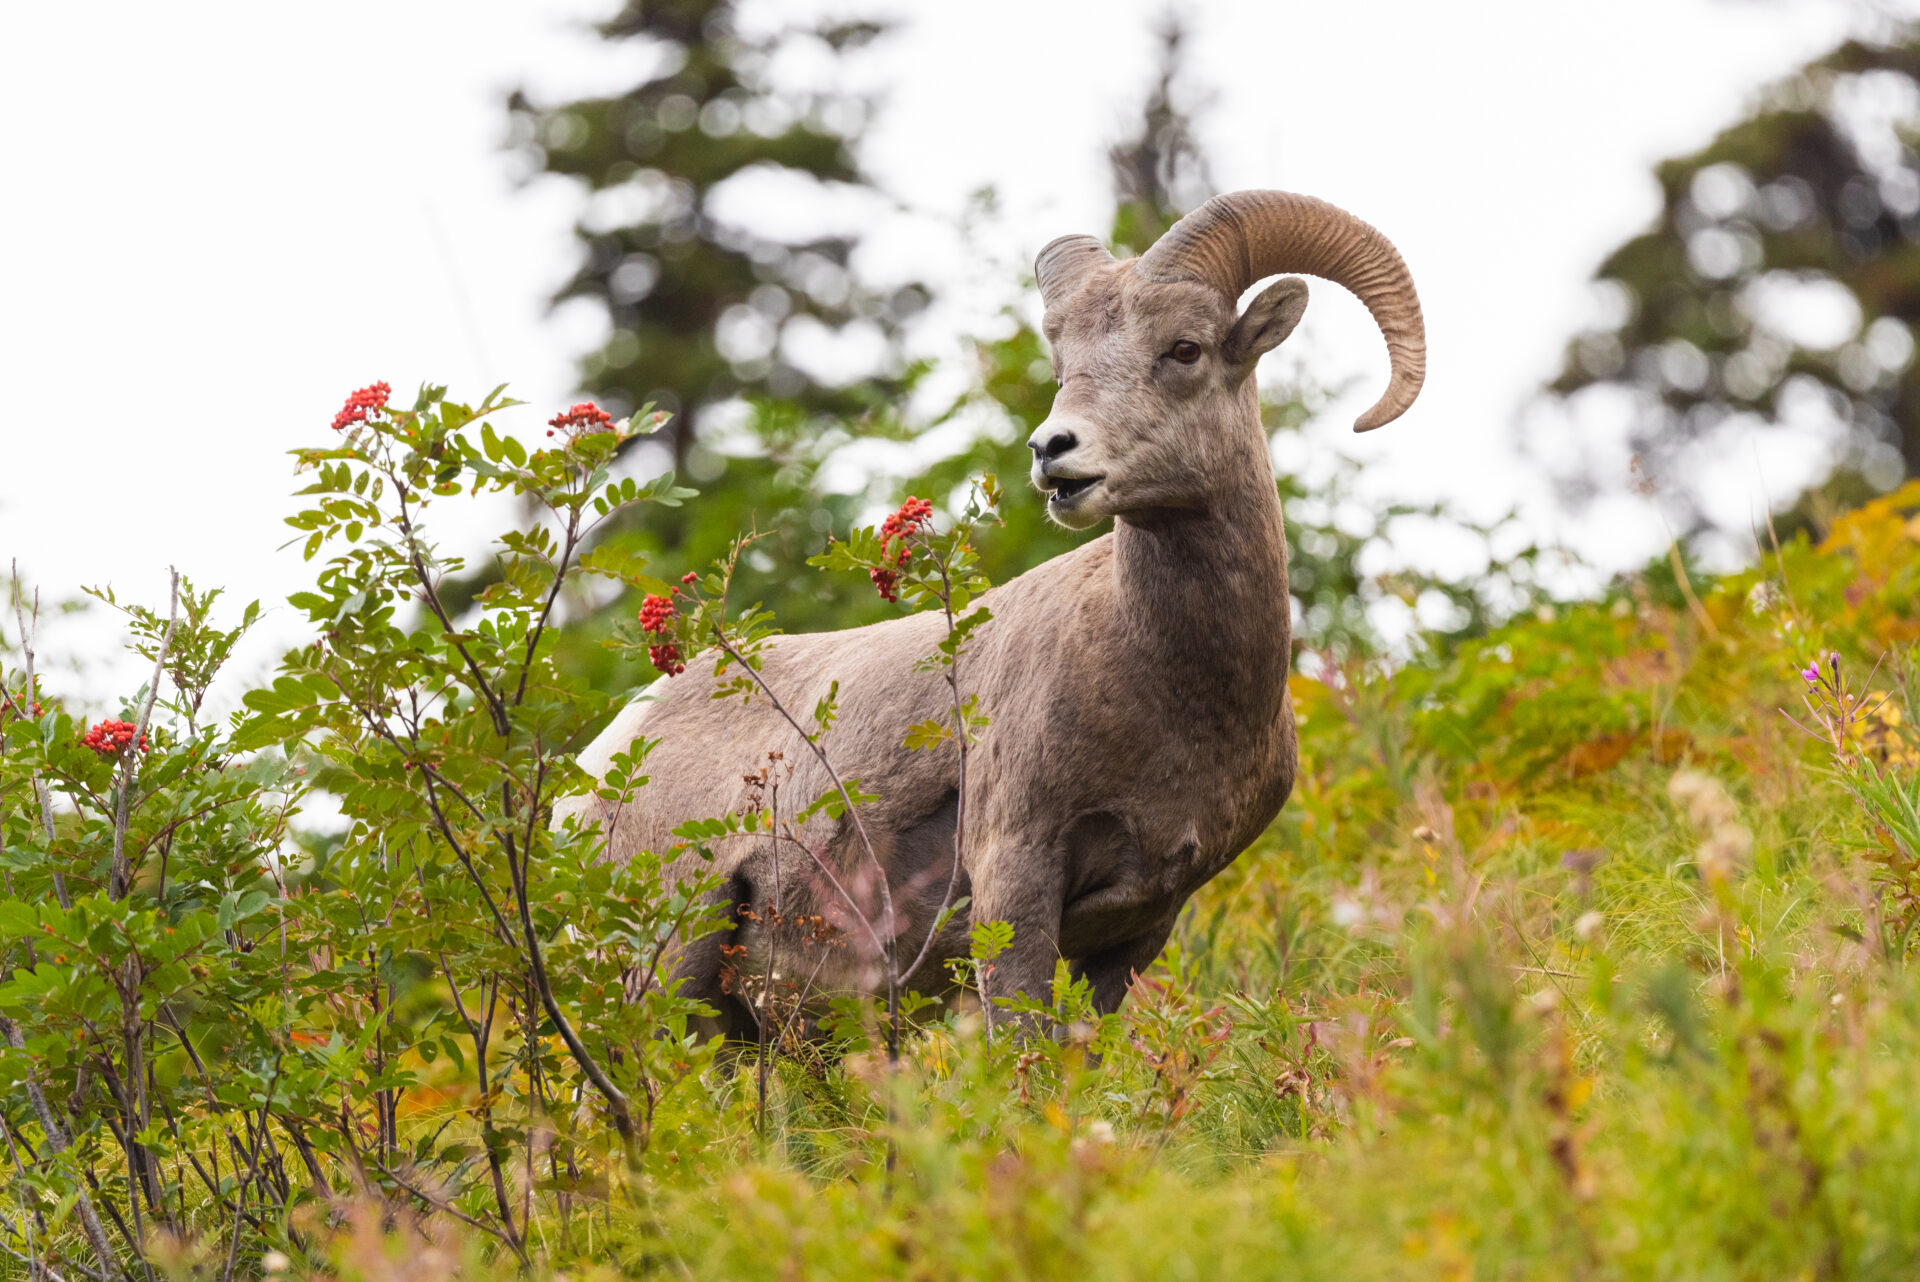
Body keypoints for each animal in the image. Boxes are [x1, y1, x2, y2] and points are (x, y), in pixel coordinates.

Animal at [559, 190, 1425, 1036]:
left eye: (1186, 349)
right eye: (1063, 363)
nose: (1054, 453)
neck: (1172, 691)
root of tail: (602, 762)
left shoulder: (1139, 929)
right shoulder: (1015, 881)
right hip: (666, 964)